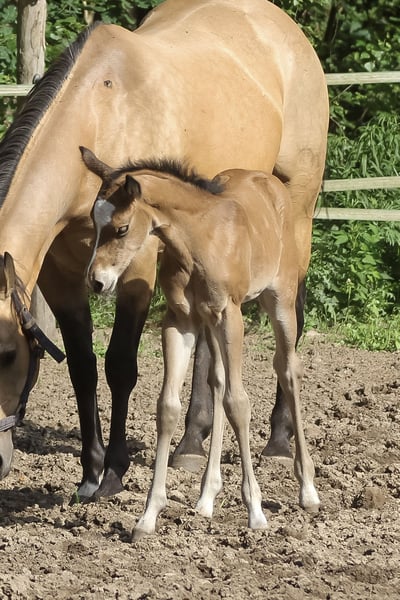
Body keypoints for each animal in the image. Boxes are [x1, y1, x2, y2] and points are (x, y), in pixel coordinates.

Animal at [81, 147, 320, 538]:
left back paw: (308, 490)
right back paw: (207, 497)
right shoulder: (181, 322)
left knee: (288, 371)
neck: (198, 240)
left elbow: (239, 404)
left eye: (121, 228)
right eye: (93, 221)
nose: (97, 282)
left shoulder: (231, 317)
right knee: (218, 381)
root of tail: (272, 183)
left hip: (280, 301)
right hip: (210, 324)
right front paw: (148, 516)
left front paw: (255, 512)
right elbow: (168, 407)